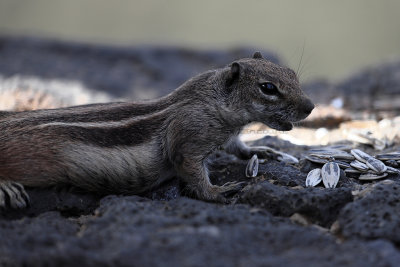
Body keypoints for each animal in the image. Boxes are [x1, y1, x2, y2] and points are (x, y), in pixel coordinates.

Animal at [0, 51, 312, 208]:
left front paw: (264, 151)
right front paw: (217, 192)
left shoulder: (230, 135)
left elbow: (239, 147)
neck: (212, 100)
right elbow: (193, 173)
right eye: (268, 88)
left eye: (291, 74)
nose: (310, 107)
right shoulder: (188, 140)